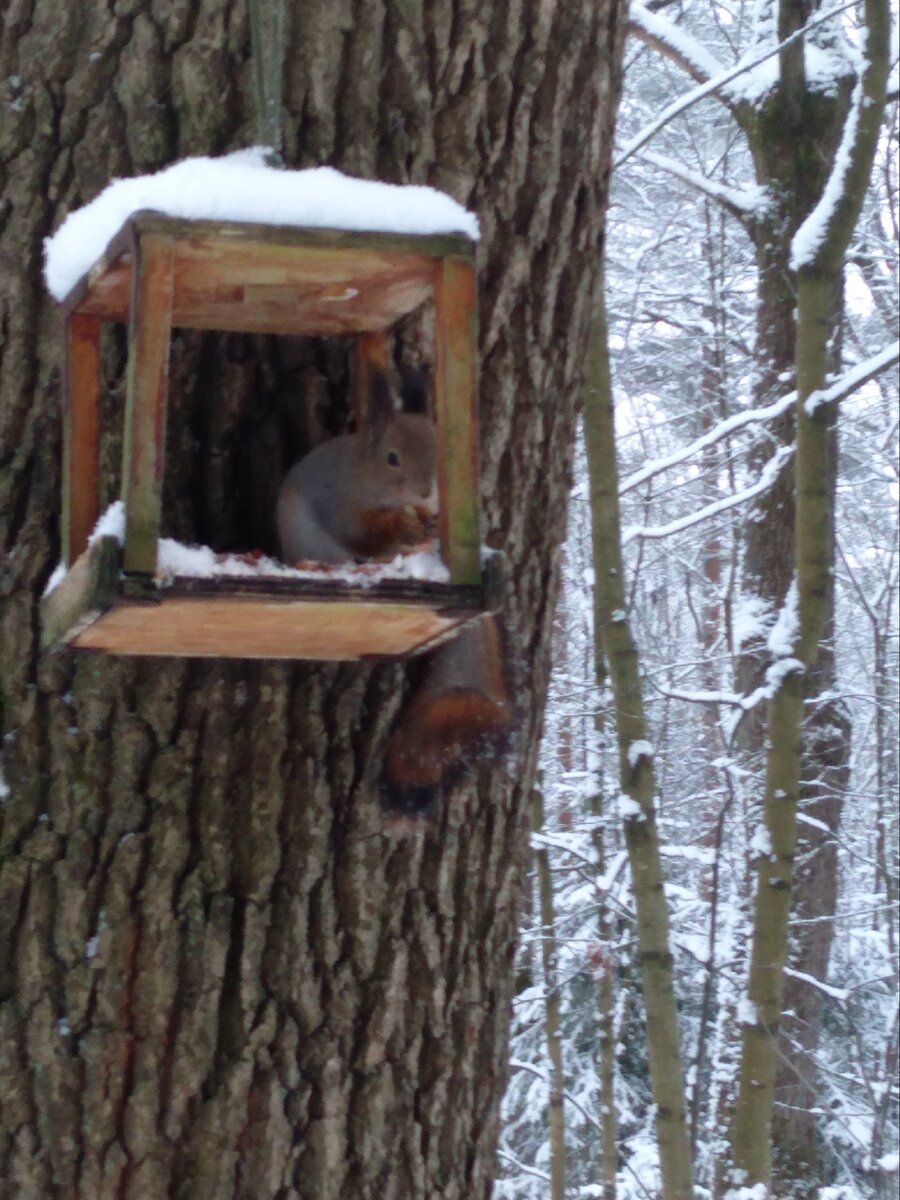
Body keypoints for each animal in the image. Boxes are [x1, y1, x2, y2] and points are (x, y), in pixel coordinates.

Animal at [278, 362, 511, 816]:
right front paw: (405, 525)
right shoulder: (341, 508)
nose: (428, 492)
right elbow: (365, 532)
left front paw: (427, 522)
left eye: (440, 447)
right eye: (392, 458)